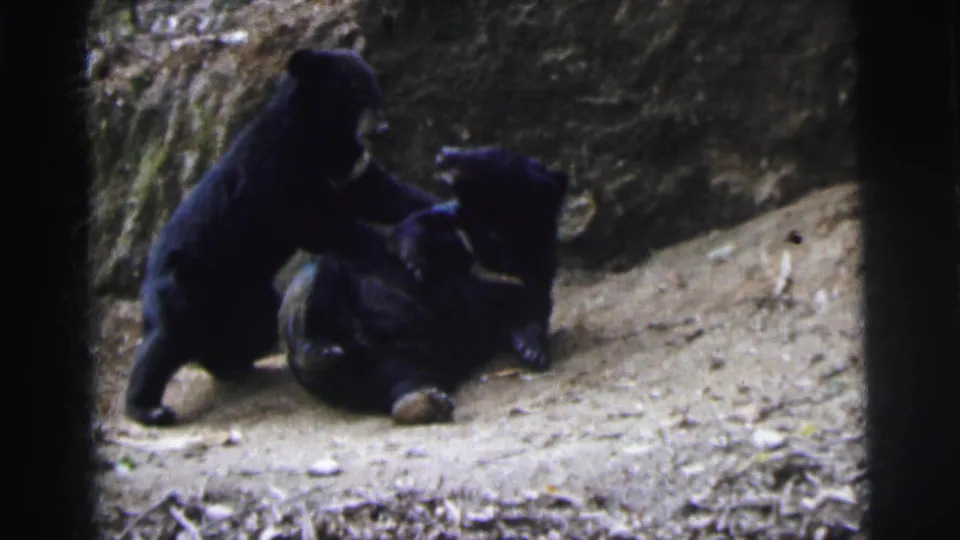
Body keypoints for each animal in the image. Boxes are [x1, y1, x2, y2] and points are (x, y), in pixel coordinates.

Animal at [124, 48, 440, 427]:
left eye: (372, 89)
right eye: (355, 90)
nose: (382, 129)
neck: (319, 135)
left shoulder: (348, 166)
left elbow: (379, 192)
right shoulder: (278, 174)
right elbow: (318, 223)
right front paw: (399, 249)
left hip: (248, 298)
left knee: (249, 330)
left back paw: (231, 365)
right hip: (183, 286)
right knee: (164, 341)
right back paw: (149, 408)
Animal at [277, 146, 569, 425]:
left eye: (492, 153)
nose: (445, 152)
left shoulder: (535, 270)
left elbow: (531, 307)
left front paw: (532, 351)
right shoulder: (451, 226)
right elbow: (413, 228)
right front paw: (414, 262)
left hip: (400, 361)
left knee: (400, 377)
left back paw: (424, 403)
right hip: (322, 307)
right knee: (318, 278)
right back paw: (319, 351)